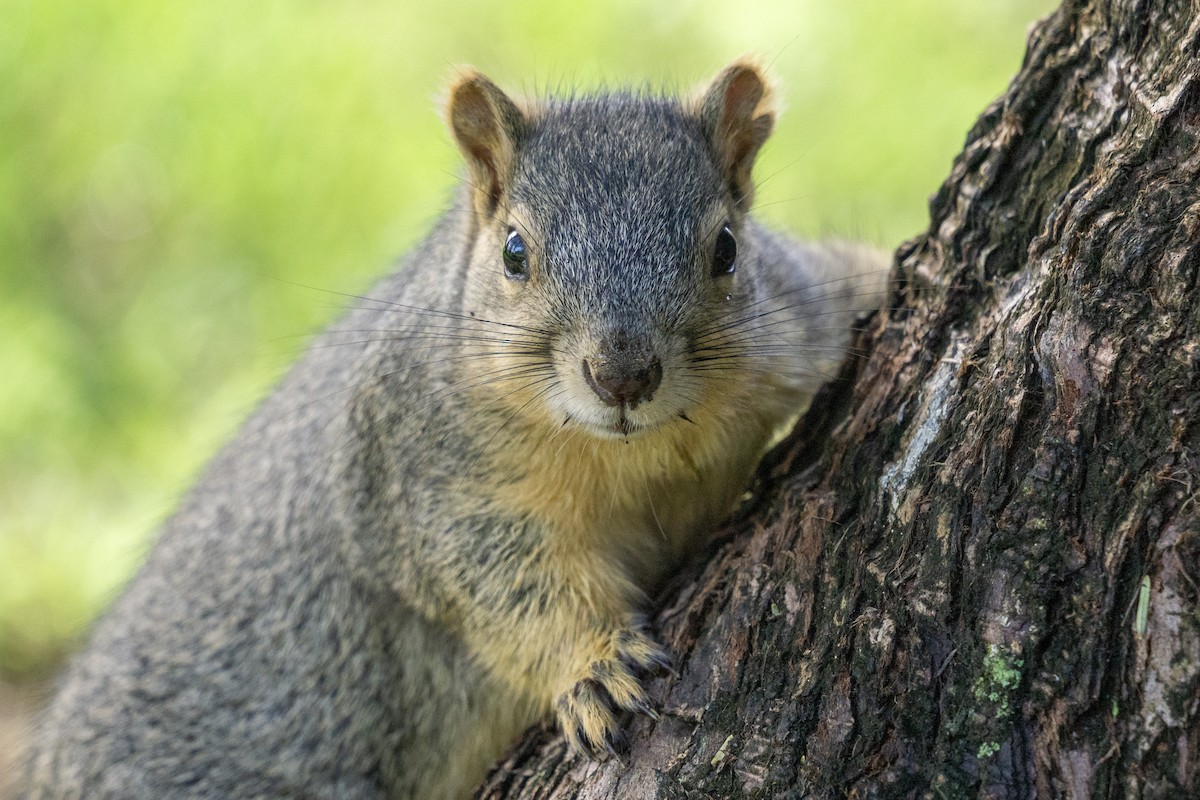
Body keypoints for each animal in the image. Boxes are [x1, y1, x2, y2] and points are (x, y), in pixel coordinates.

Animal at [22, 61, 888, 799]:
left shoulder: (799, 322)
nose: (622, 376)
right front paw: (595, 664)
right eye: (514, 252)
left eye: (727, 249)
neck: (637, 453)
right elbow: (507, 583)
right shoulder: (419, 475)